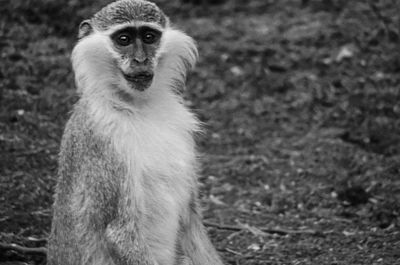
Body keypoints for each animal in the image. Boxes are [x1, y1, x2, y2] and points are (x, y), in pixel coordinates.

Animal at [47, 0, 225, 264]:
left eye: (149, 37)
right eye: (124, 39)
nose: (141, 59)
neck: (138, 106)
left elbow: (191, 222)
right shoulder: (103, 143)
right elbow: (119, 232)